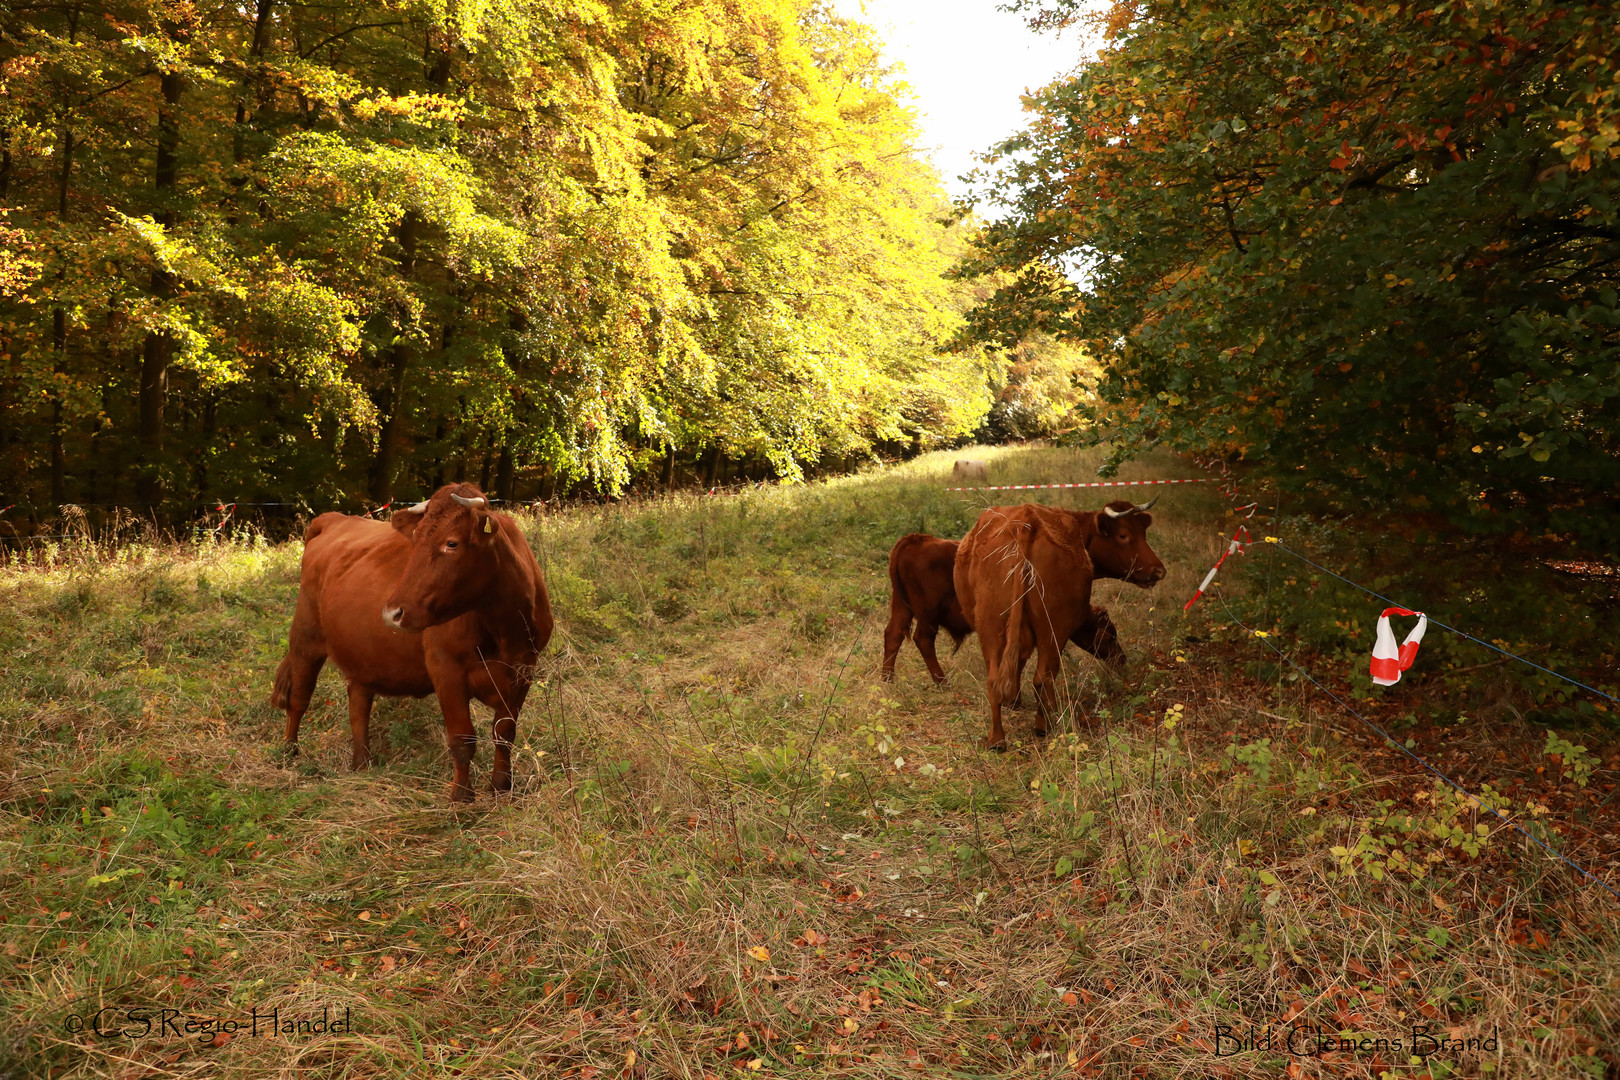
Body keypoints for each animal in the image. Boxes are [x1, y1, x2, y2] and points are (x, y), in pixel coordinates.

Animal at [268, 482, 554, 803]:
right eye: (415, 540)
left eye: (452, 543)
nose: (392, 613)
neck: (501, 627)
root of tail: (333, 519)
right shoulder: (446, 669)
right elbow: (462, 739)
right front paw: (461, 798)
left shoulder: (524, 667)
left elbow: (504, 732)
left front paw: (501, 787)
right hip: (305, 636)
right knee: (298, 698)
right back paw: (289, 751)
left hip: (360, 653)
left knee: (358, 702)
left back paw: (362, 762)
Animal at [887, 531, 1127, 683]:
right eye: (1109, 635)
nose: (1122, 660)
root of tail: (916, 540)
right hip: (928, 614)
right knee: (923, 640)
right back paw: (941, 681)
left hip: (902, 607)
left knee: (893, 634)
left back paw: (888, 679)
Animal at [946, 501, 1166, 748]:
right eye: (1123, 535)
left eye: (1143, 532)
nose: (1159, 570)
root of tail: (1027, 521)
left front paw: (1014, 700)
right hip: (1053, 631)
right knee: (1043, 678)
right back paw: (1044, 725)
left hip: (991, 627)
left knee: (995, 681)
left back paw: (997, 739)